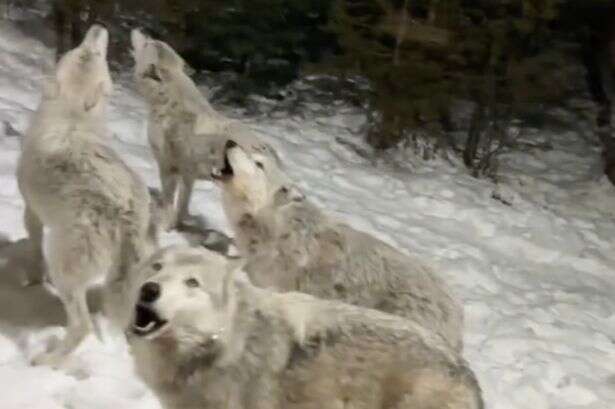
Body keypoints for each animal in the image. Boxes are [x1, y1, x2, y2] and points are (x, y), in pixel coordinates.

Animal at [18, 23, 156, 364]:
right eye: (83, 50)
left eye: (91, 52)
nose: (97, 26)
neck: (73, 115)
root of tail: (125, 211)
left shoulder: (31, 213)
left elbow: (32, 251)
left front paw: (33, 281)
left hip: (65, 270)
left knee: (82, 327)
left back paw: (47, 361)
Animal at [132, 29, 272, 230]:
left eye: (147, 43)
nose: (140, 29)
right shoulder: (187, 176)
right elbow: (182, 206)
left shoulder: (168, 168)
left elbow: (168, 203)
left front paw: (165, 227)